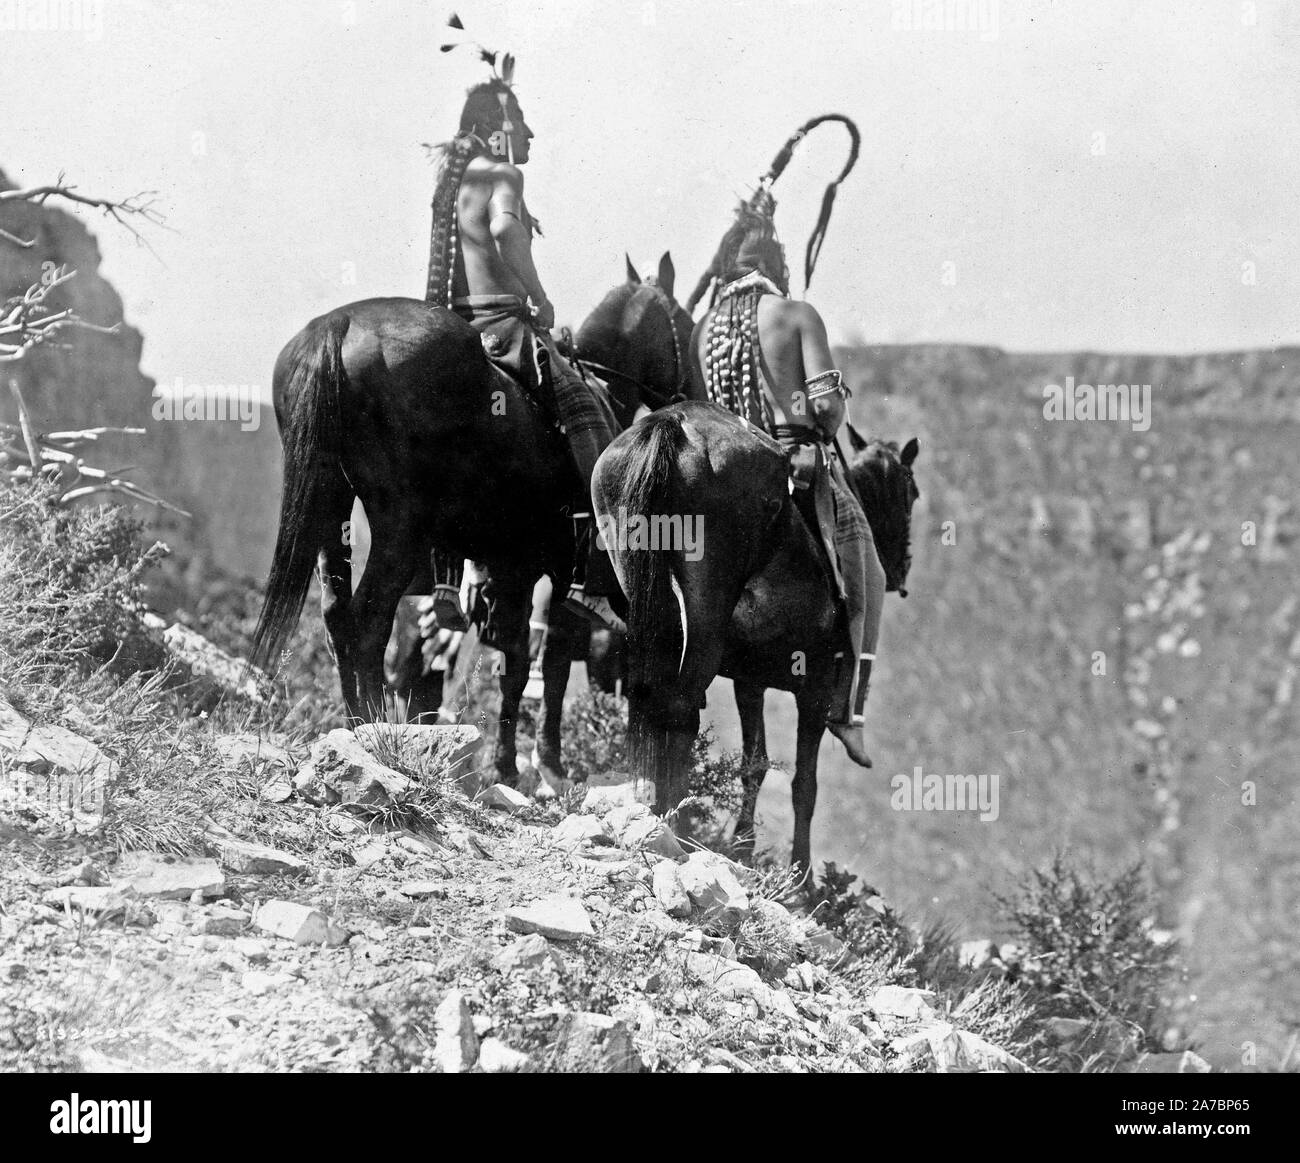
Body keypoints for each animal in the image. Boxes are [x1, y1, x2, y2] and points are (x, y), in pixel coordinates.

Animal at [250, 253, 691, 779]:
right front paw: (534, 763)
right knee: (370, 620)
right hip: (400, 526)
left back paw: (355, 720)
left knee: (339, 614)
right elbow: (543, 664)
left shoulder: (507, 568)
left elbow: (515, 661)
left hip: (332, 502)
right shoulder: (550, 571)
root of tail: (339, 324)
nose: (690, 391)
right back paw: (374, 727)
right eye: (684, 322)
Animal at [595, 402, 920, 883]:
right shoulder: (816, 689)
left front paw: (743, 846)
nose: (900, 570)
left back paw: (658, 813)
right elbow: (805, 783)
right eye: (911, 491)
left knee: (657, 701)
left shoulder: (751, 682)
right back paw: (675, 824)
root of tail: (674, 423)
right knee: (679, 706)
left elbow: (755, 764)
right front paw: (801, 876)